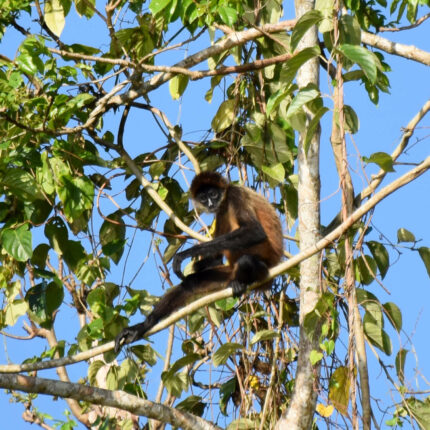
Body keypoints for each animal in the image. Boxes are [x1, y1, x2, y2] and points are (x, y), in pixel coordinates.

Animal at [112, 170, 284, 352]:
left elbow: (255, 232)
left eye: (213, 194)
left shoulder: (235, 195)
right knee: (191, 283)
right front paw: (196, 264)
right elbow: (215, 259)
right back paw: (142, 327)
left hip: (262, 267)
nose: (210, 203)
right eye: (203, 198)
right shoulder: (220, 210)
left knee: (246, 260)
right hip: (227, 273)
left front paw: (186, 254)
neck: (225, 199)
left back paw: (240, 282)